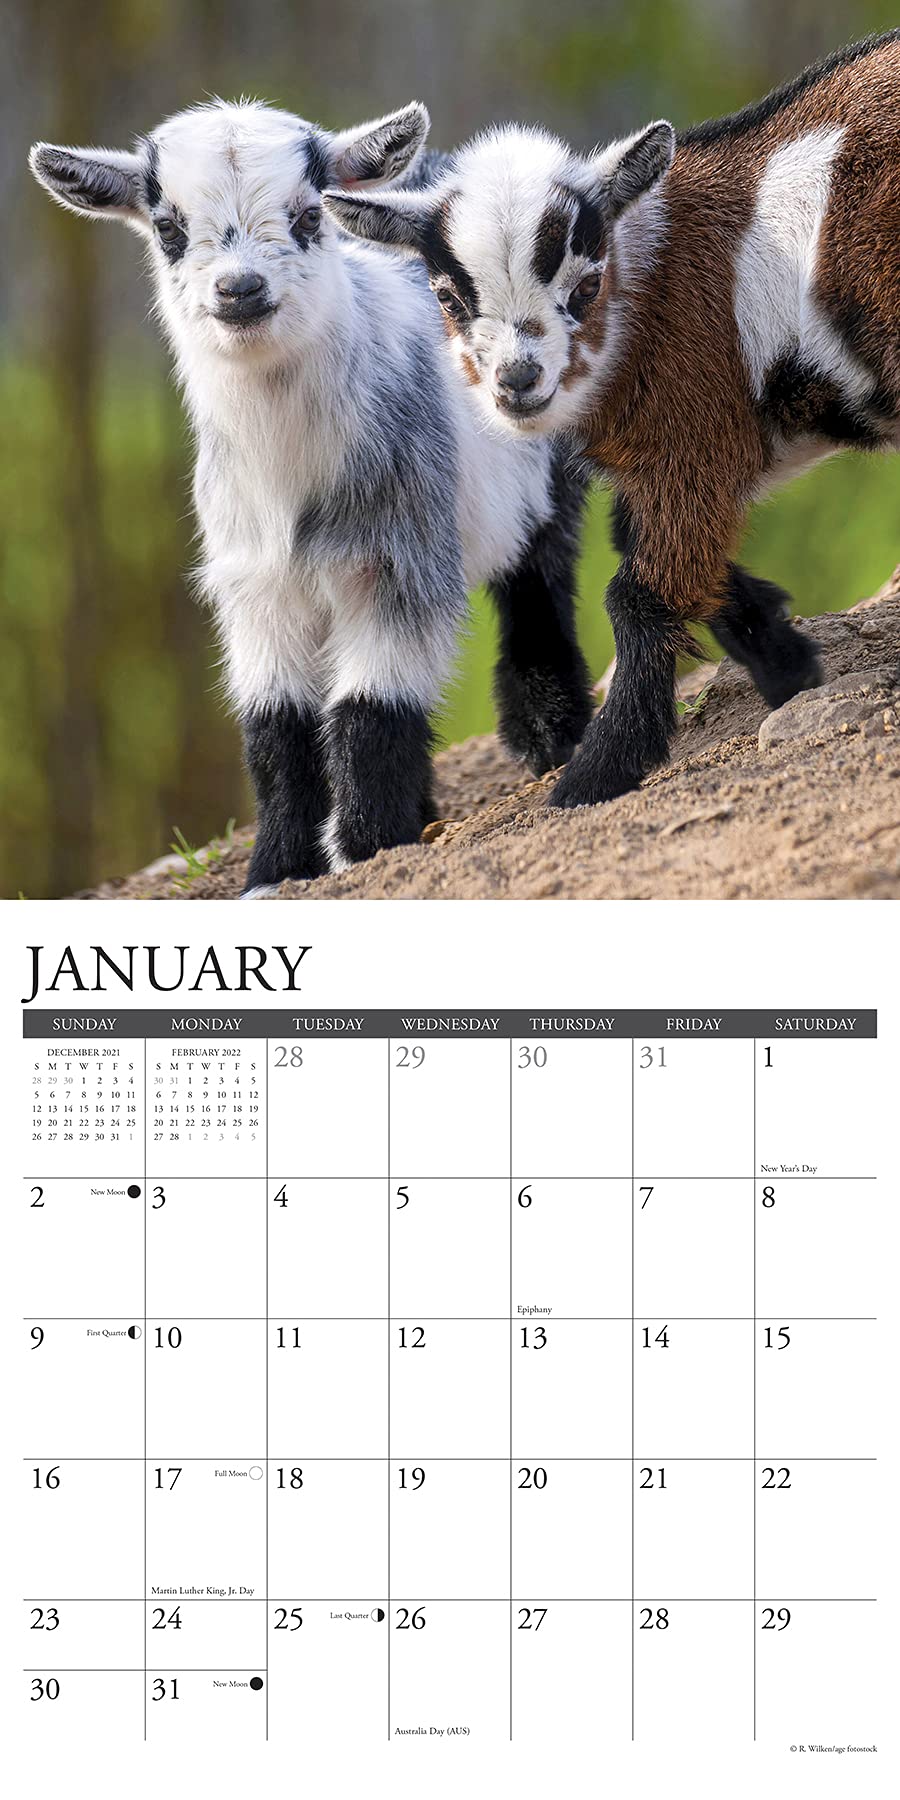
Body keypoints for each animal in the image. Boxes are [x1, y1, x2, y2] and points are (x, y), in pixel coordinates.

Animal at [30, 101, 592, 890]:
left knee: (539, 575)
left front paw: (364, 845)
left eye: (306, 216)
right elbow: (277, 722)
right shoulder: (254, 580)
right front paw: (279, 866)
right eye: (169, 229)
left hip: (550, 470)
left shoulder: (399, 556)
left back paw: (550, 737)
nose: (239, 290)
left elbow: (372, 705)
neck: (291, 486)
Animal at [327, 31, 900, 812]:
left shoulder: (692, 442)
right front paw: (790, 665)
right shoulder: (670, 471)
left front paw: (597, 772)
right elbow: (680, 569)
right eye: (447, 297)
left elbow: (634, 594)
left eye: (586, 284)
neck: (647, 292)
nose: (518, 381)